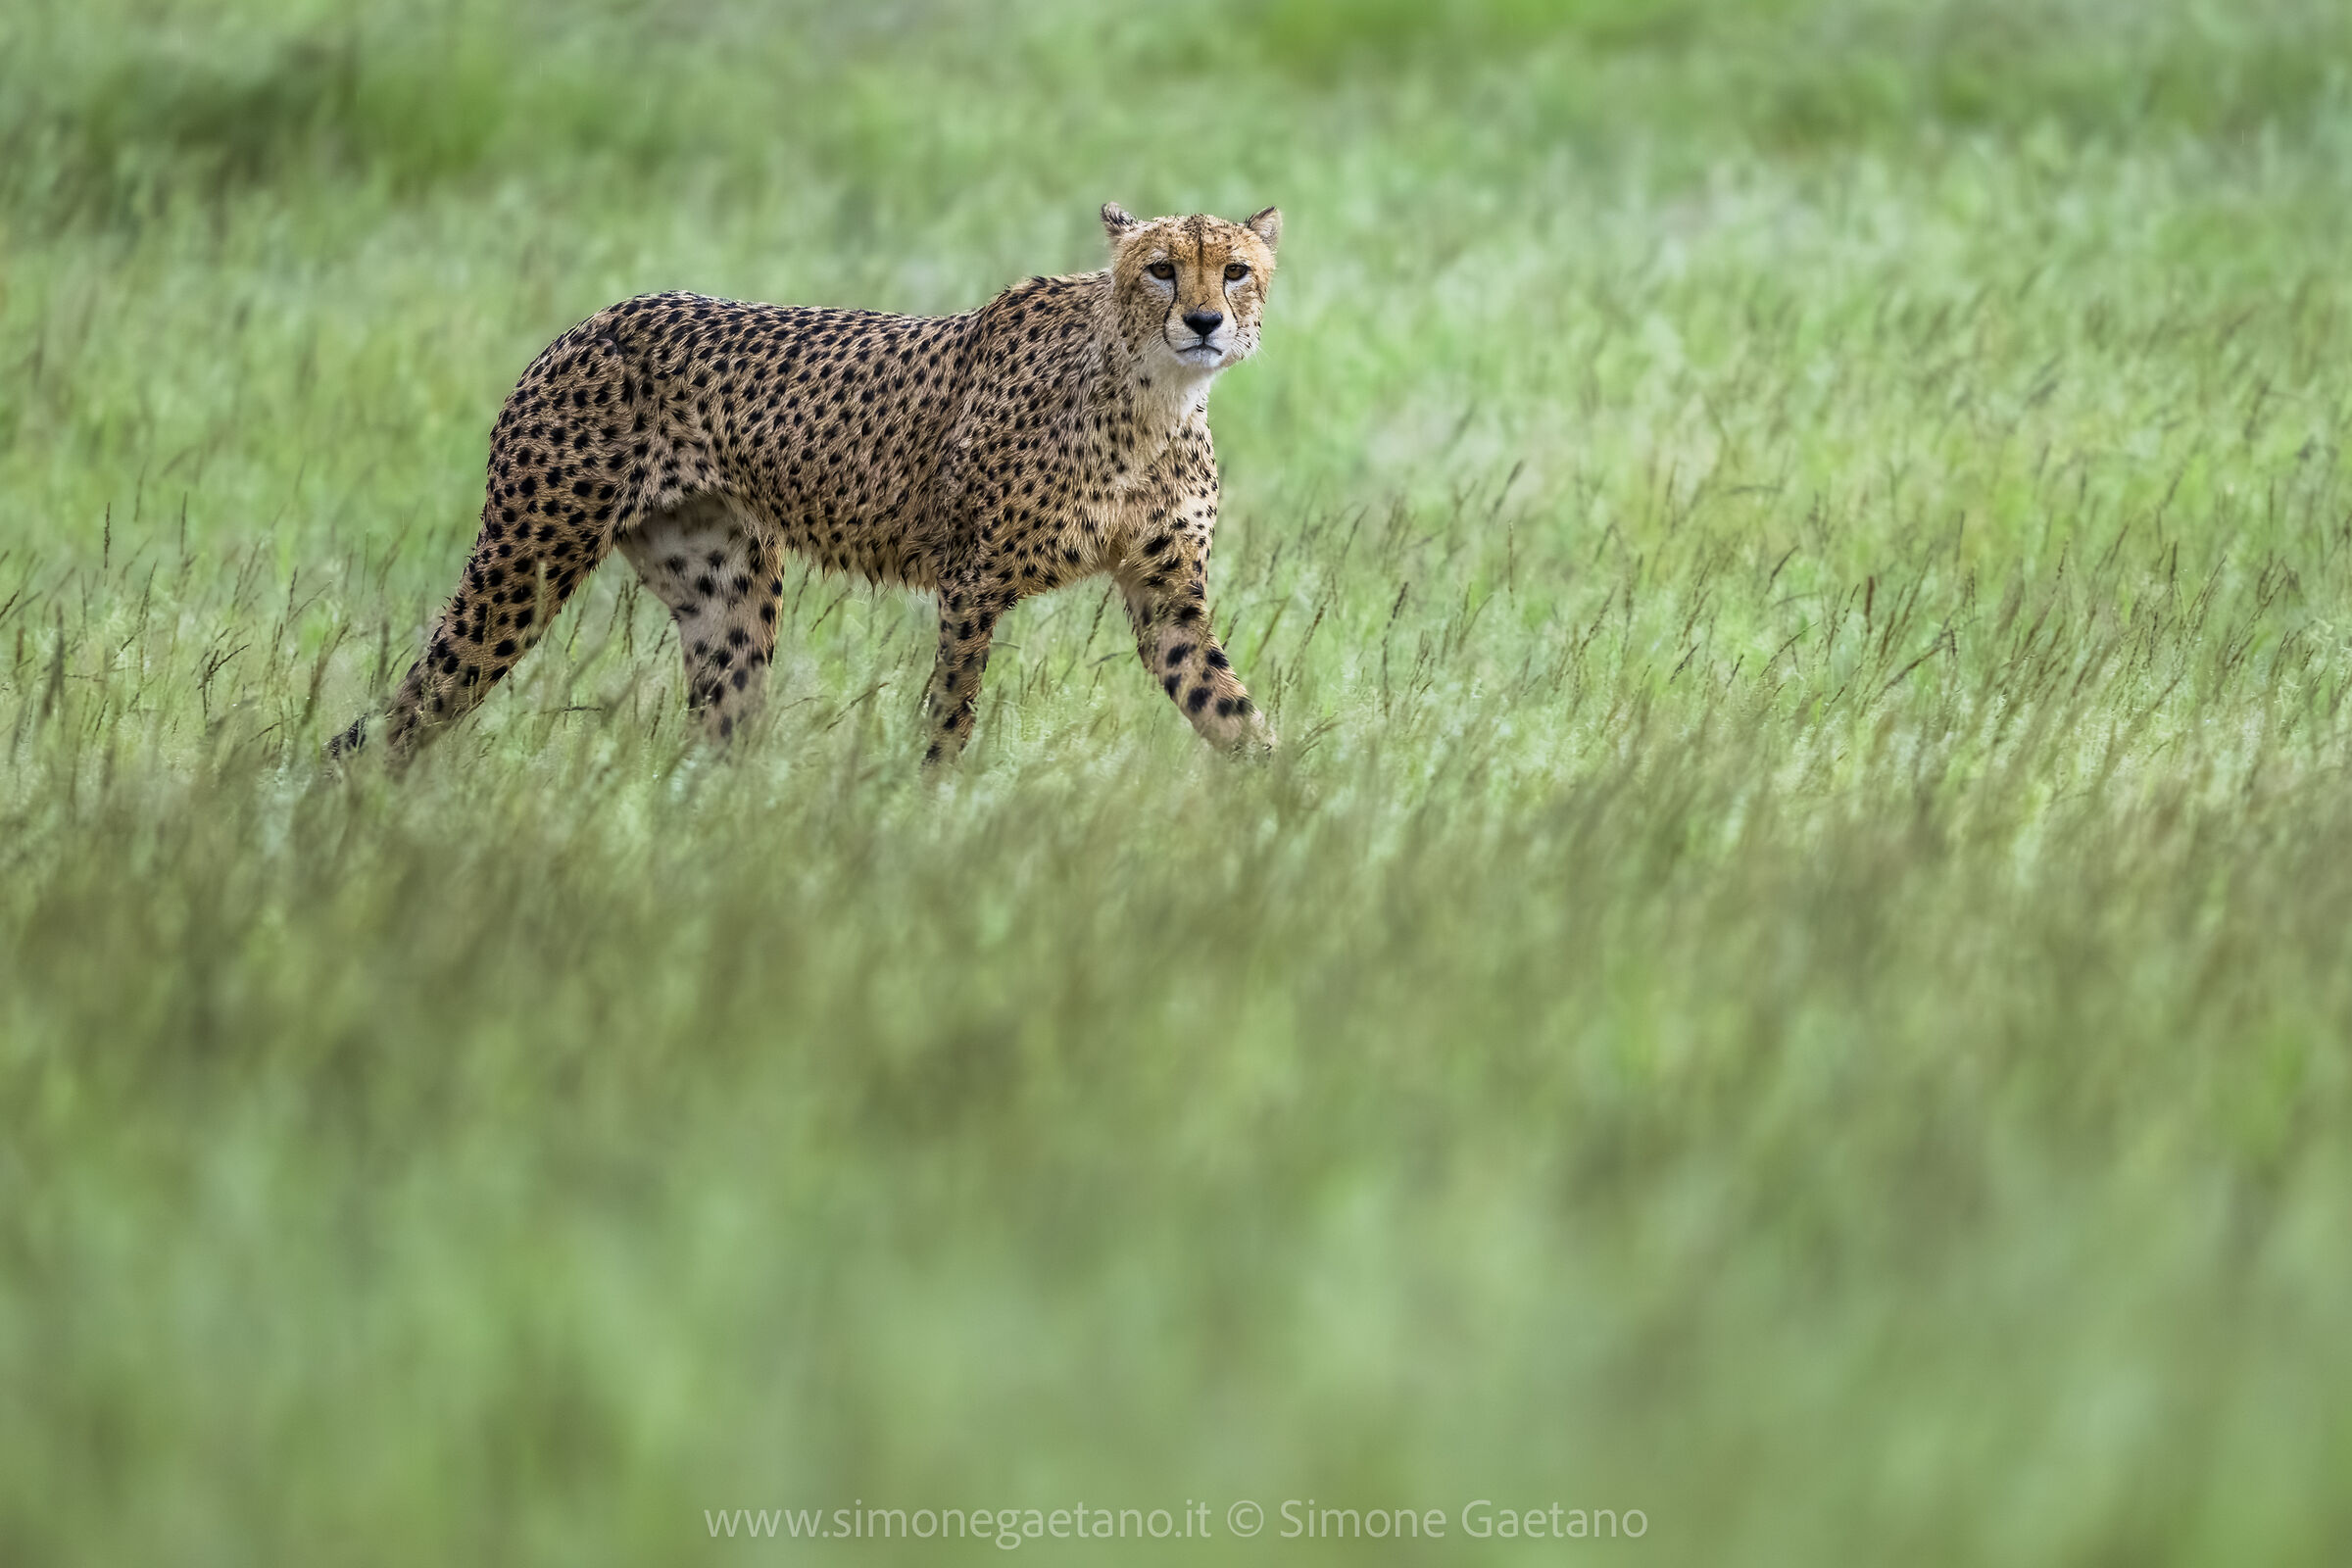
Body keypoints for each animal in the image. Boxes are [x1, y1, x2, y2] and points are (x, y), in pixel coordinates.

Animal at [329, 201, 1284, 771]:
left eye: (1234, 270)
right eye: (1161, 268)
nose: (1204, 320)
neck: (1153, 395)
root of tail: (588, 323)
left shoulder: (1166, 602)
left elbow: (1233, 713)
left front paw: (1298, 819)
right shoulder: (972, 583)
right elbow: (951, 714)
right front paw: (935, 810)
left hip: (727, 594)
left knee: (717, 735)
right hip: (524, 565)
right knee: (407, 713)